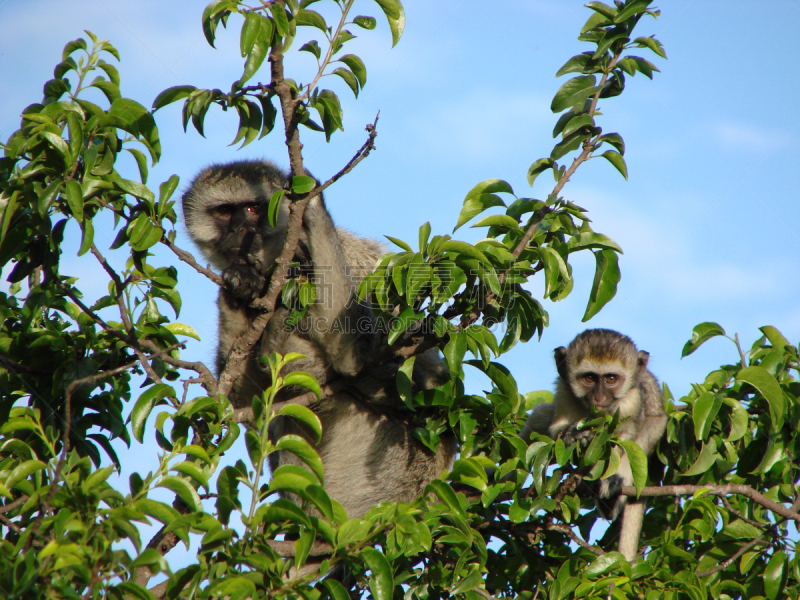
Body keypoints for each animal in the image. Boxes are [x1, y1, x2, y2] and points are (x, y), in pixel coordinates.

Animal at [183, 161, 456, 520]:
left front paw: (311, 204)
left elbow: (354, 355)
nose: (240, 231)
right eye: (225, 212)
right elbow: (248, 402)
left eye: (254, 209)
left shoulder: (348, 263)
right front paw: (240, 285)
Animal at [520, 330, 664, 560]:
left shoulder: (631, 400)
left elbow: (628, 437)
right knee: (540, 414)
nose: (599, 397)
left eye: (611, 379)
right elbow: (556, 428)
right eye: (588, 378)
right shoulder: (565, 391)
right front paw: (572, 434)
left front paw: (613, 476)